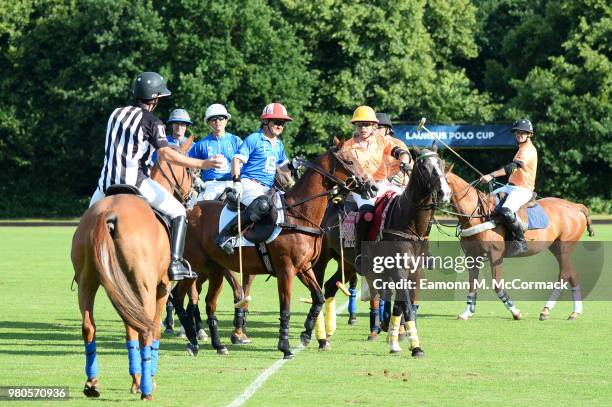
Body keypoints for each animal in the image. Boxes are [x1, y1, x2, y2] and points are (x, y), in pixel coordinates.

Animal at [71, 139, 196, 400]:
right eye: (189, 169)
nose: (193, 196)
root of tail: (108, 215)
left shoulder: (124, 289)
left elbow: (130, 330)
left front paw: (135, 380)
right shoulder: (160, 288)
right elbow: (151, 330)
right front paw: (147, 380)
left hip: (87, 282)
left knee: (89, 326)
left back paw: (92, 383)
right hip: (144, 285)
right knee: (147, 329)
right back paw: (147, 389)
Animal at [182, 142, 372, 358]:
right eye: (349, 161)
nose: (372, 186)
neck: (299, 215)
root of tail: (188, 211)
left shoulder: (304, 267)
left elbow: (318, 298)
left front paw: (306, 334)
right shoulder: (286, 270)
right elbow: (285, 308)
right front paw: (285, 346)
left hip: (215, 269)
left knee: (208, 302)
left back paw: (217, 345)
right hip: (193, 267)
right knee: (185, 298)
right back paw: (193, 342)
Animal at [444, 168, 592, 322]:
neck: (475, 217)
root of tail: (576, 206)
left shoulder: (495, 255)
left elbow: (497, 284)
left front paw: (516, 312)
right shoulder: (472, 256)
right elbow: (472, 285)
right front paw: (467, 313)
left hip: (565, 247)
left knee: (564, 274)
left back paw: (547, 310)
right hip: (556, 247)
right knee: (572, 274)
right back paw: (573, 312)